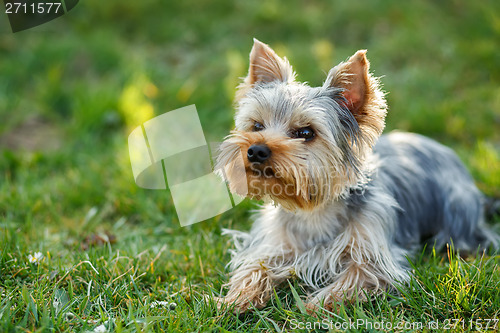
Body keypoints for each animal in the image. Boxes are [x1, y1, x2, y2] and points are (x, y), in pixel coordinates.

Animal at [214, 38, 496, 312]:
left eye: (305, 133)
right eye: (257, 126)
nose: (256, 150)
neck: (313, 210)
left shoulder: (377, 257)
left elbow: (359, 275)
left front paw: (315, 306)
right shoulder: (274, 242)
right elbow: (255, 266)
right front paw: (235, 299)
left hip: (456, 209)